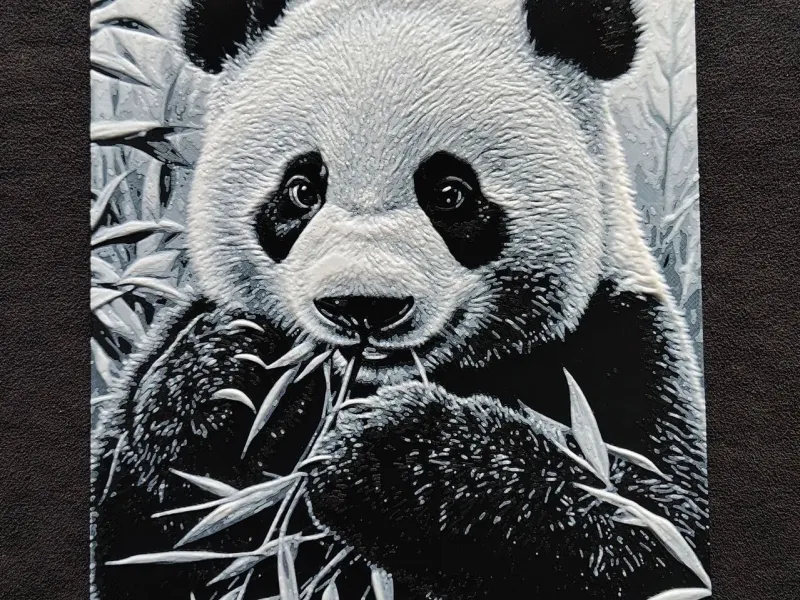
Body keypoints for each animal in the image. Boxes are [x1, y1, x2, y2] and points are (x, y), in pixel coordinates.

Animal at [91, 0, 710, 599]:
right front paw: (231, 374)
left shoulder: (621, 346)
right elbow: (145, 539)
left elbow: (656, 533)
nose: (363, 304)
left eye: (451, 193)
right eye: (301, 189)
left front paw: (390, 450)